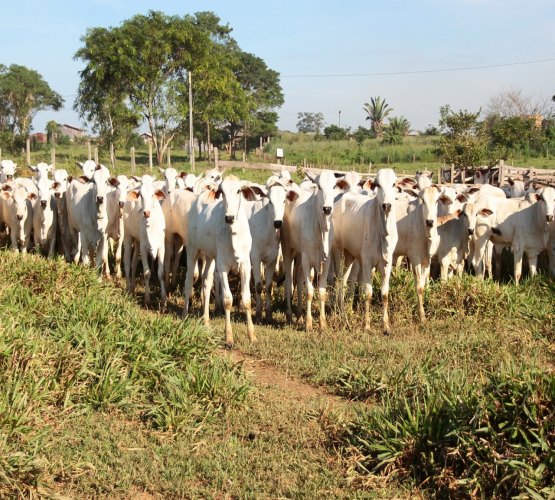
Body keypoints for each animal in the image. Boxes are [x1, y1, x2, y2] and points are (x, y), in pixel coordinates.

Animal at [121, 178, 165, 306]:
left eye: (152, 194)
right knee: (127, 262)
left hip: (137, 241)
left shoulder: (161, 247)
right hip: (128, 236)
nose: (146, 213)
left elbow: (161, 273)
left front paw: (164, 298)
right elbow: (146, 273)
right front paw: (147, 298)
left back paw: (132, 287)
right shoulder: (144, 248)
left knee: (134, 262)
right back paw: (127, 288)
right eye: (140, 195)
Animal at [182, 176, 260, 348]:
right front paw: (229, 338)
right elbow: (227, 300)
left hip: (210, 257)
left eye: (238, 191)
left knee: (206, 282)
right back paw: (184, 314)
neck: (233, 233)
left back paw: (206, 322)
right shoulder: (223, 266)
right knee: (189, 281)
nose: (229, 217)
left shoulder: (246, 265)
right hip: (192, 250)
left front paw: (252, 336)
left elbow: (246, 299)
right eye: (222, 192)